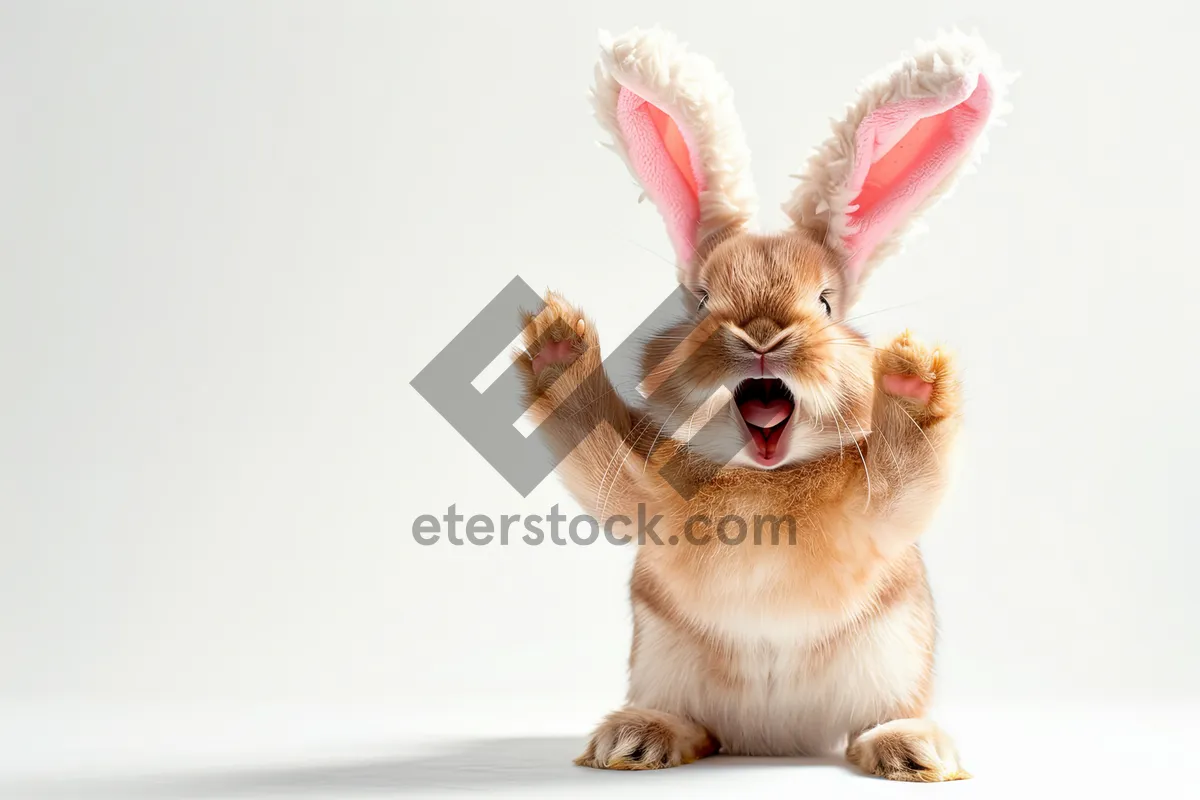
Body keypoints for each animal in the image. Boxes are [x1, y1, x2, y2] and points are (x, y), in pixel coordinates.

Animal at [516, 26, 1012, 782]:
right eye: (699, 300)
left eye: (827, 303)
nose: (761, 334)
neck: (762, 476)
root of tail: (775, 743)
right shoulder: (639, 490)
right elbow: (589, 441)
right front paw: (557, 343)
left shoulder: (882, 510)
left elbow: (912, 469)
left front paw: (912, 374)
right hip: (667, 667)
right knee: (696, 727)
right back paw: (635, 739)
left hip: (891, 663)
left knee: (878, 718)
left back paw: (911, 750)